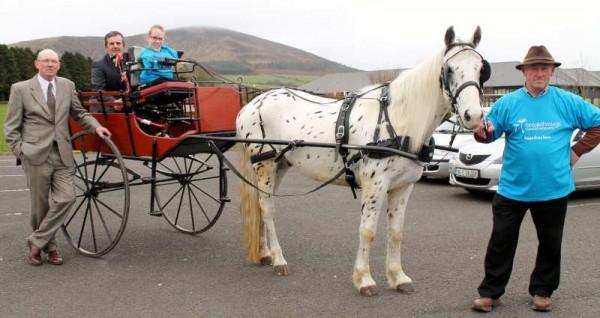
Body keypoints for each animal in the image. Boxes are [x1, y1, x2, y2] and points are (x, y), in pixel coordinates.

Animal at [234, 25, 488, 296]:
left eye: (481, 68)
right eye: (449, 69)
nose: (473, 115)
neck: (397, 120)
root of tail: (251, 104)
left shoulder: (403, 186)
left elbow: (396, 232)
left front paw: (398, 277)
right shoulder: (375, 185)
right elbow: (368, 231)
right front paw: (364, 278)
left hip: (280, 165)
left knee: (261, 205)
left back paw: (265, 253)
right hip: (265, 165)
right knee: (267, 208)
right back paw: (279, 259)